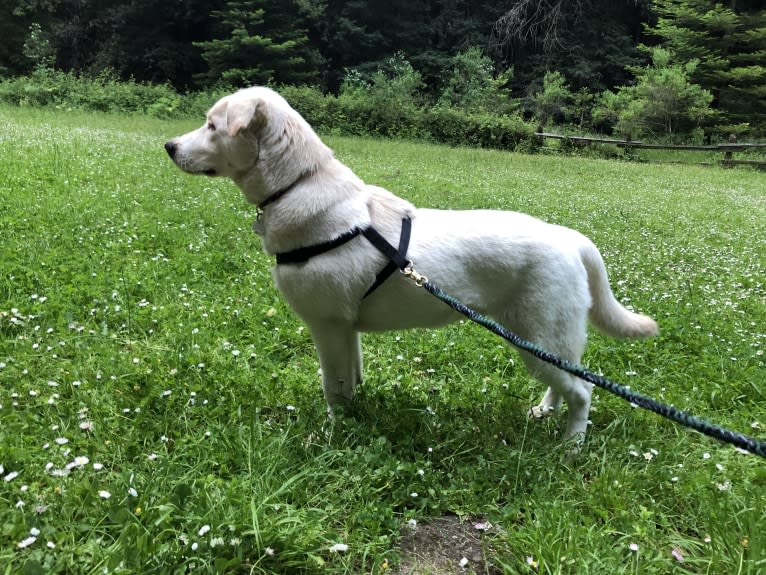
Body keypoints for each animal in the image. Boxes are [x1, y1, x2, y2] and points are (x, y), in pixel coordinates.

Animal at [168, 86, 660, 446]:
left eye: (212, 125)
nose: (169, 146)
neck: (296, 186)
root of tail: (570, 237)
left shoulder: (327, 325)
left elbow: (333, 387)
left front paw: (334, 433)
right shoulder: (346, 329)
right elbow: (352, 377)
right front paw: (355, 414)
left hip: (539, 337)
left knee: (583, 391)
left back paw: (570, 448)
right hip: (544, 340)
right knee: (567, 380)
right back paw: (545, 413)